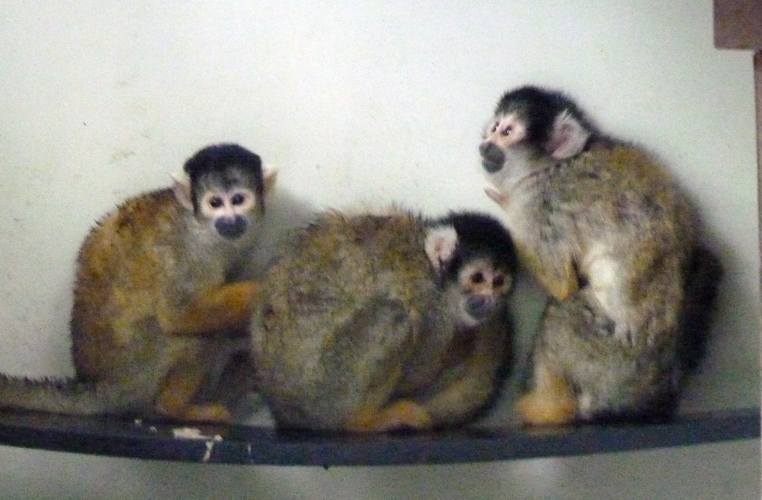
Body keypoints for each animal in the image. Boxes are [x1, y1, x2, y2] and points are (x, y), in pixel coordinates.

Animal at [0, 143, 277, 423]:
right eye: (215, 203)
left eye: (238, 200)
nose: (230, 220)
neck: (198, 225)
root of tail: (99, 387)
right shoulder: (184, 251)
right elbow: (179, 314)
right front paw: (259, 287)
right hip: (141, 369)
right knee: (198, 335)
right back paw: (175, 407)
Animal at [249, 210, 517, 432]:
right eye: (478, 278)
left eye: (499, 283)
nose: (489, 301)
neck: (433, 272)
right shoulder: (431, 304)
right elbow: (414, 373)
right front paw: (458, 348)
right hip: (325, 393)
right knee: (395, 316)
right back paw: (361, 422)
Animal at [478, 85, 721, 425]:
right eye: (495, 126)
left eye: (507, 132)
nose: (486, 143)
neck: (551, 165)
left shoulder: (540, 201)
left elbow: (561, 283)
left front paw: (504, 200)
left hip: (613, 359)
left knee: (562, 310)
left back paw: (548, 408)